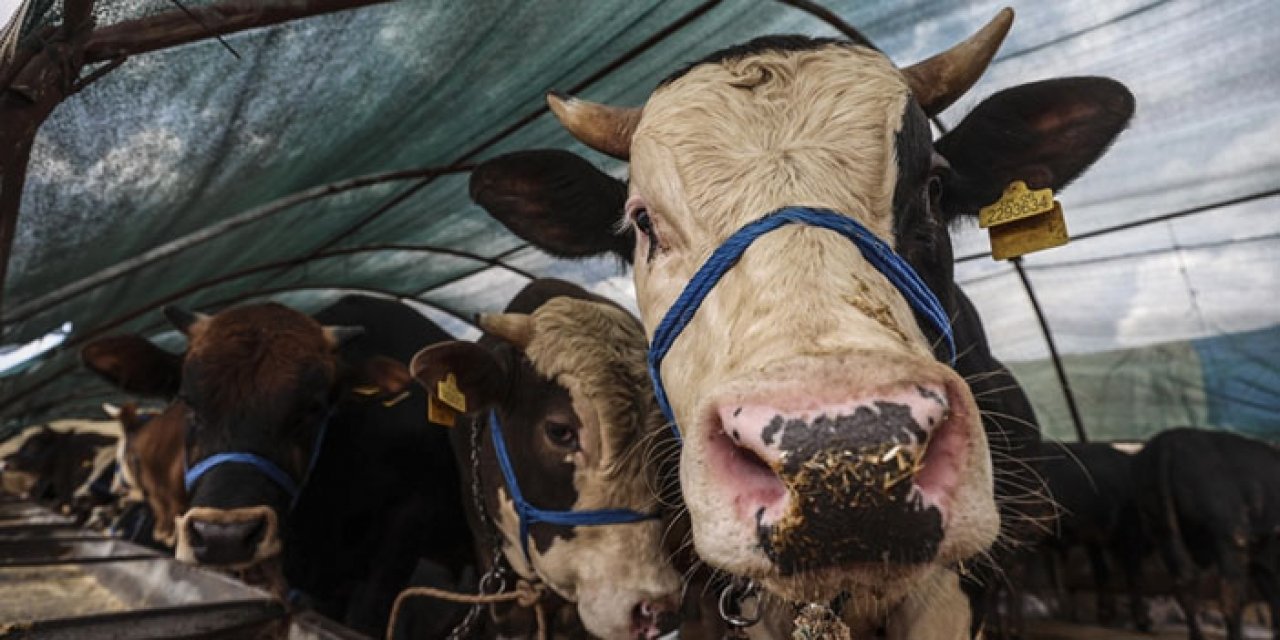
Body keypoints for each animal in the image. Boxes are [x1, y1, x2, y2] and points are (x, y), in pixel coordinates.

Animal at [1039, 445, 1152, 629]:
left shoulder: (1094, 540)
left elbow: (1102, 573)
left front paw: (1106, 615)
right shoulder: (1130, 536)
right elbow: (1133, 575)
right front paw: (1142, 620)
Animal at [1136, 430, 1280, 640]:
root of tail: (1167, 443)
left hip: (1164, 533)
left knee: (1185, 586)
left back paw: (1197, 635)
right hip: (1230, 539)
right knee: (1230, 597)